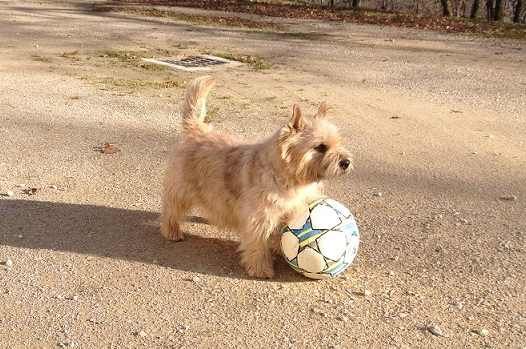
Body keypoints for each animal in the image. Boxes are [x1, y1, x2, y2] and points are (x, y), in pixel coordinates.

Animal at [159, 75, 352, 278]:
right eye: (320, 147)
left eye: (339, 142)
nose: (346, 162)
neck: (290, 180)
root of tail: (196, 129)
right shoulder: (260, 219)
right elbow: (258, 245)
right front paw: (261, 268)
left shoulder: (290, 212)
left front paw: (278, 249)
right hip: (182, 189)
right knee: (171, 208)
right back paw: (171, 231)